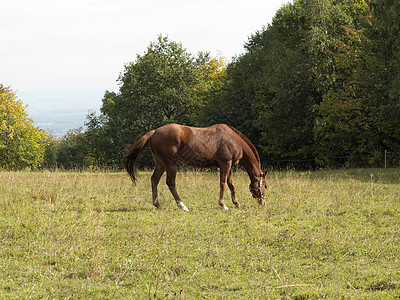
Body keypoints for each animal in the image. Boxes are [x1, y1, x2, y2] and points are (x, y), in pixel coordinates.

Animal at [123, 123, 268, 211]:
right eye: (265, 186)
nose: (263, 202)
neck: (234, 139)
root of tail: (155, 131)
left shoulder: (229, 166)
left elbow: (231, 184)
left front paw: (236, 204)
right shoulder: (225, 163)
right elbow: (222, 183)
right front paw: (223, 204)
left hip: (161, 164)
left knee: (154, 180)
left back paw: (157, 205)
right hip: (171, 164)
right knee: (170, 182)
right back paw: (182, 205)